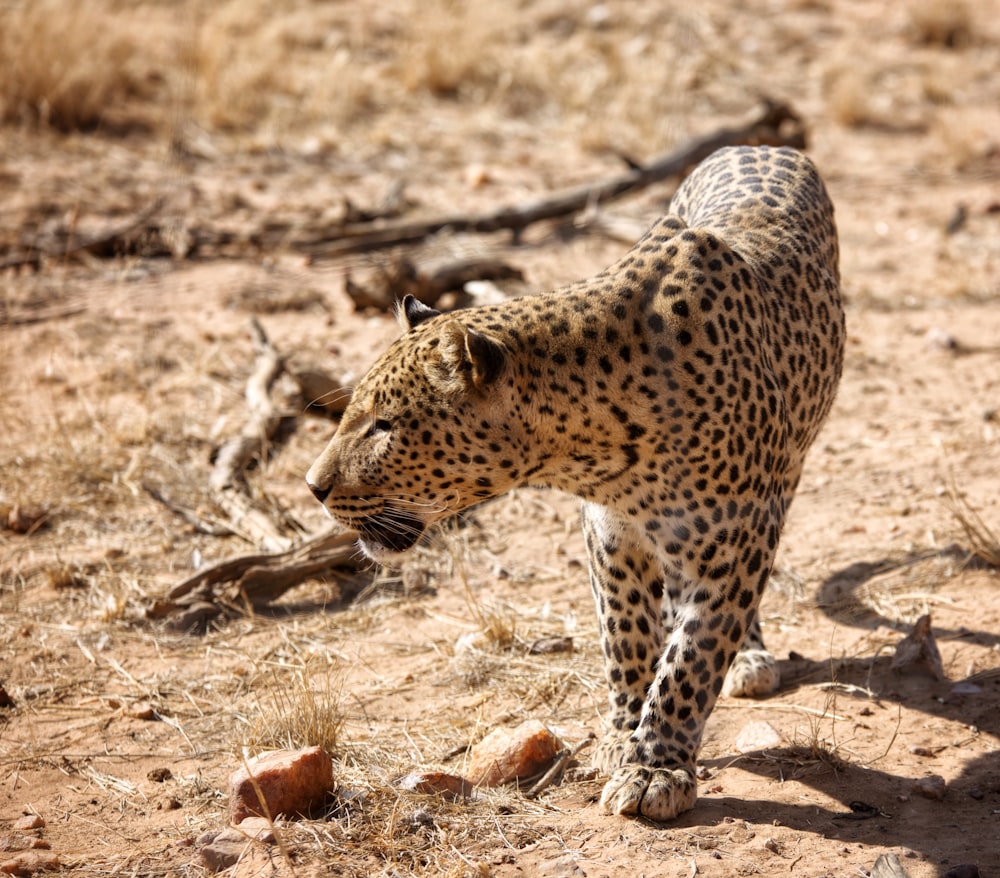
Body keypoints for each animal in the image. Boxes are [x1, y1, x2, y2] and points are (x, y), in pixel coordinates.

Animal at [304, 146, 844, 824]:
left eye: (384, 425)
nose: (312, 486)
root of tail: (761, 146)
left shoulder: (738, 534)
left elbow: (691, 659)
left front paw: (656, 767)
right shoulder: (609, 531)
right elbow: (625, 635)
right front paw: (622, 733)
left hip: (784, 476)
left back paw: (745, 654)